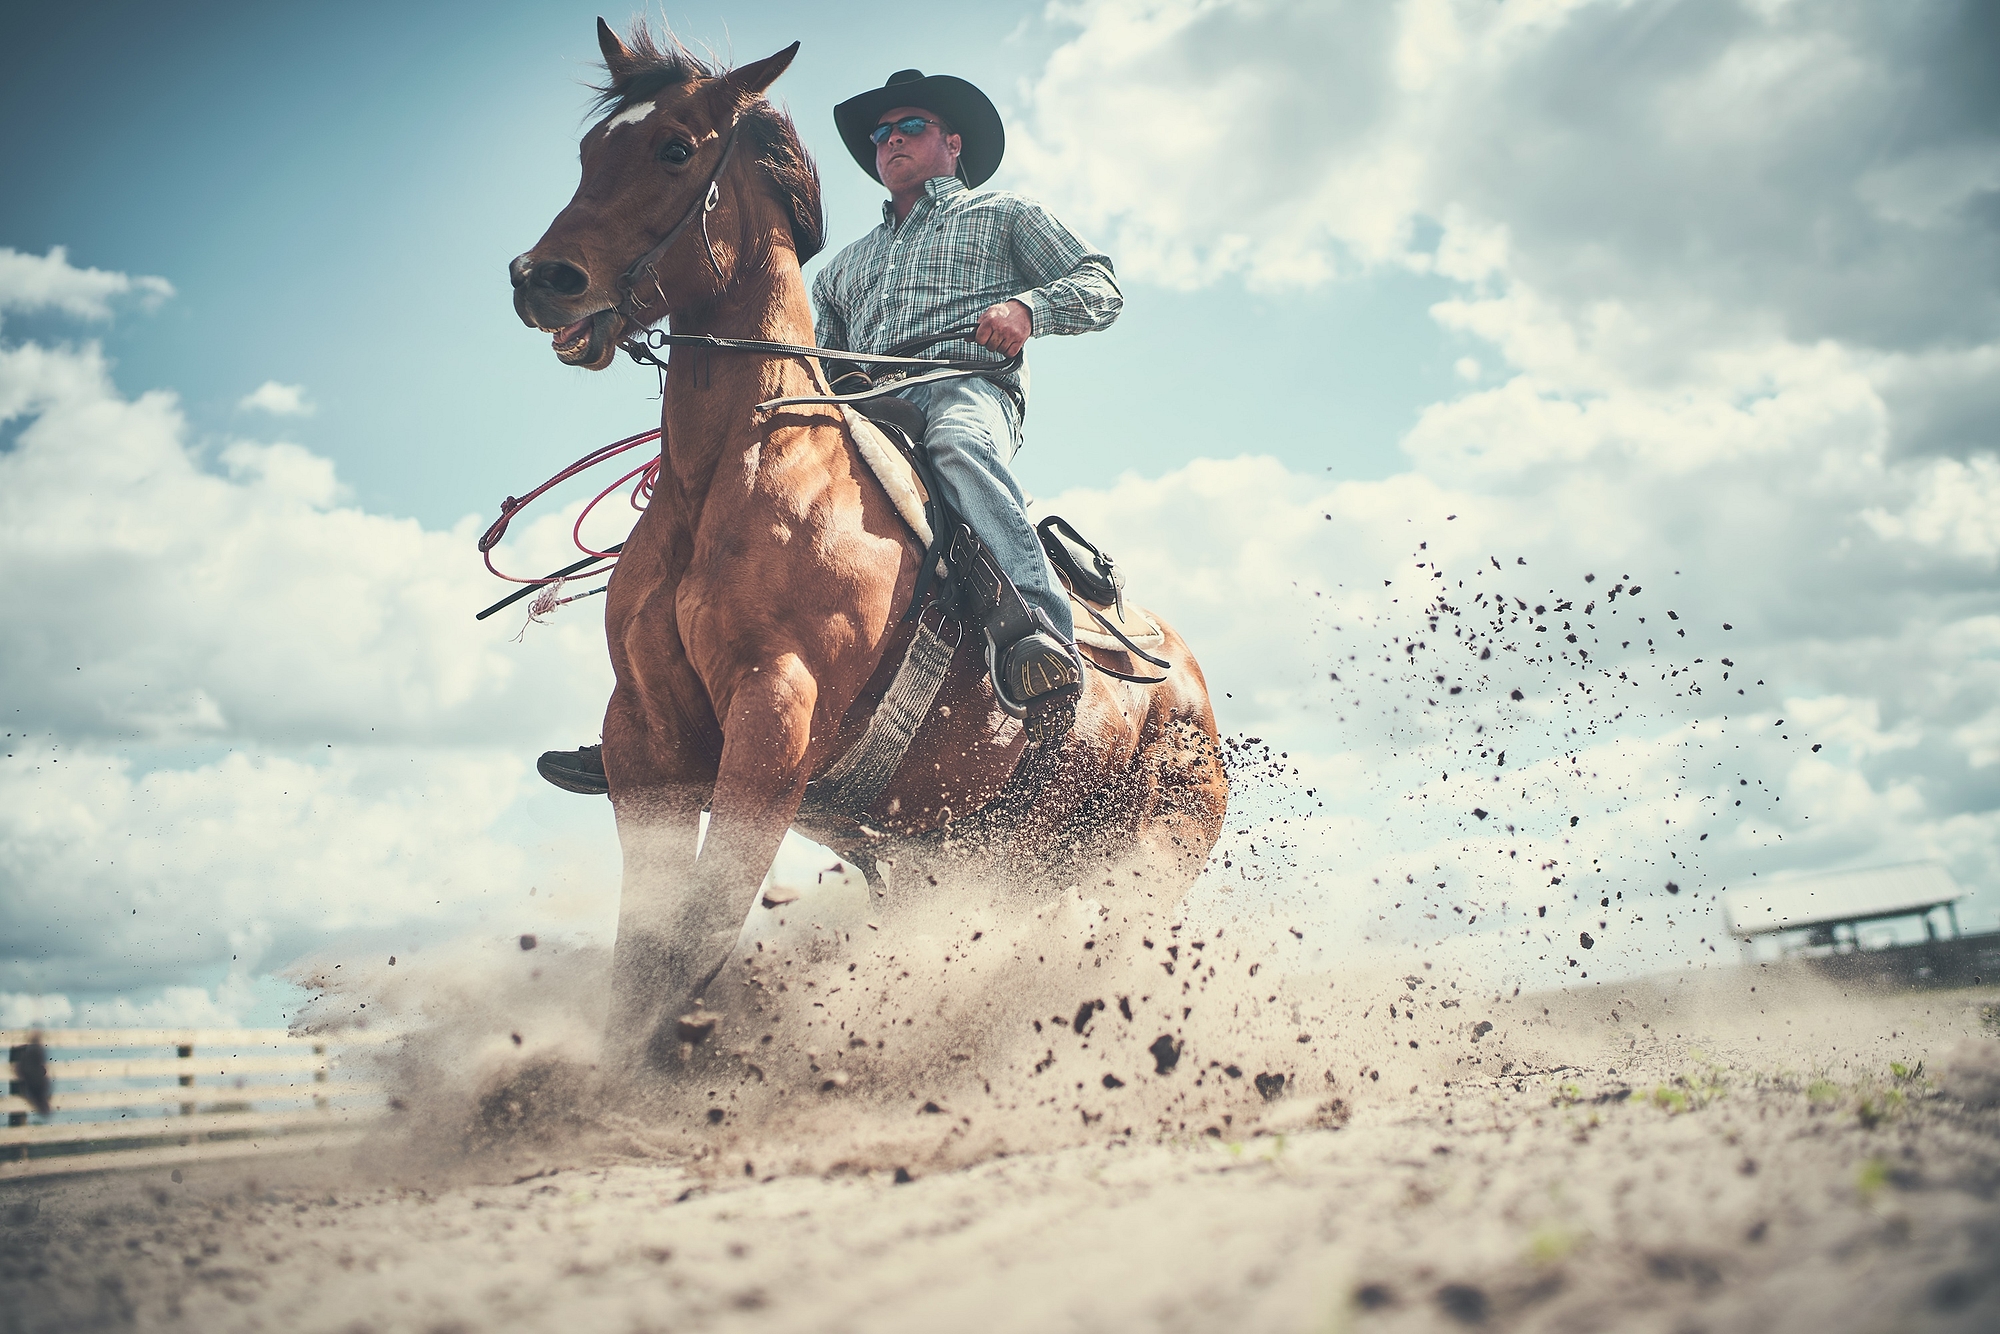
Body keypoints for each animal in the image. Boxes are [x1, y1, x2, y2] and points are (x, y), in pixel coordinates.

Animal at [508, 23, 1224, 1072]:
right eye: (589, 152)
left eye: (675, 148)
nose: (540, 280)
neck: (732, 471)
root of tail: (1186, 680)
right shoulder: (645, 737)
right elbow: (644, 951)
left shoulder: (775, 715)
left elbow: (703, 928)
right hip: (979, 862)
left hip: (1153, 851)